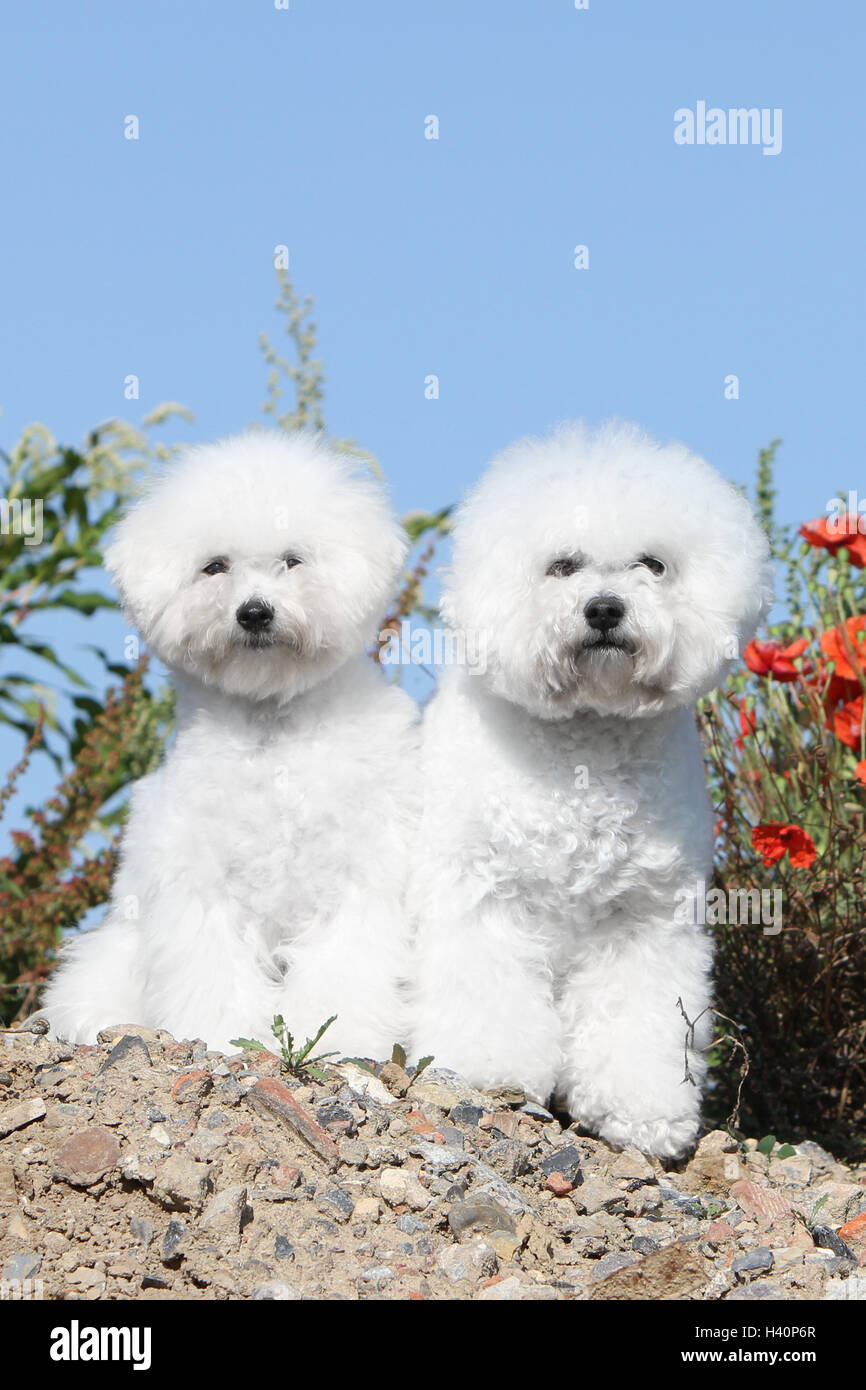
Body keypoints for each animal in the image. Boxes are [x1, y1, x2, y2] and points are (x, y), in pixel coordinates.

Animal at [42, 430, 419, 1050]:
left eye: (293, 560)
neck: (271, 728)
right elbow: (213, 971)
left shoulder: (360, 872)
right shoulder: (199, 882)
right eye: (214, 567)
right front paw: (223, 1033)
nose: (254, 613)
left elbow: (343, 968)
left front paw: (336, 1033)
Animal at [408, 422, 778, 1162]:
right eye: (562, 566)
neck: (586, 737)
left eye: (652, 565)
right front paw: (490, 1064)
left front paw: (643, 1108)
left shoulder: (644, 919)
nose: (605, 608)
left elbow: (636, 1017)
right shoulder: (484, 892)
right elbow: (485, 989)